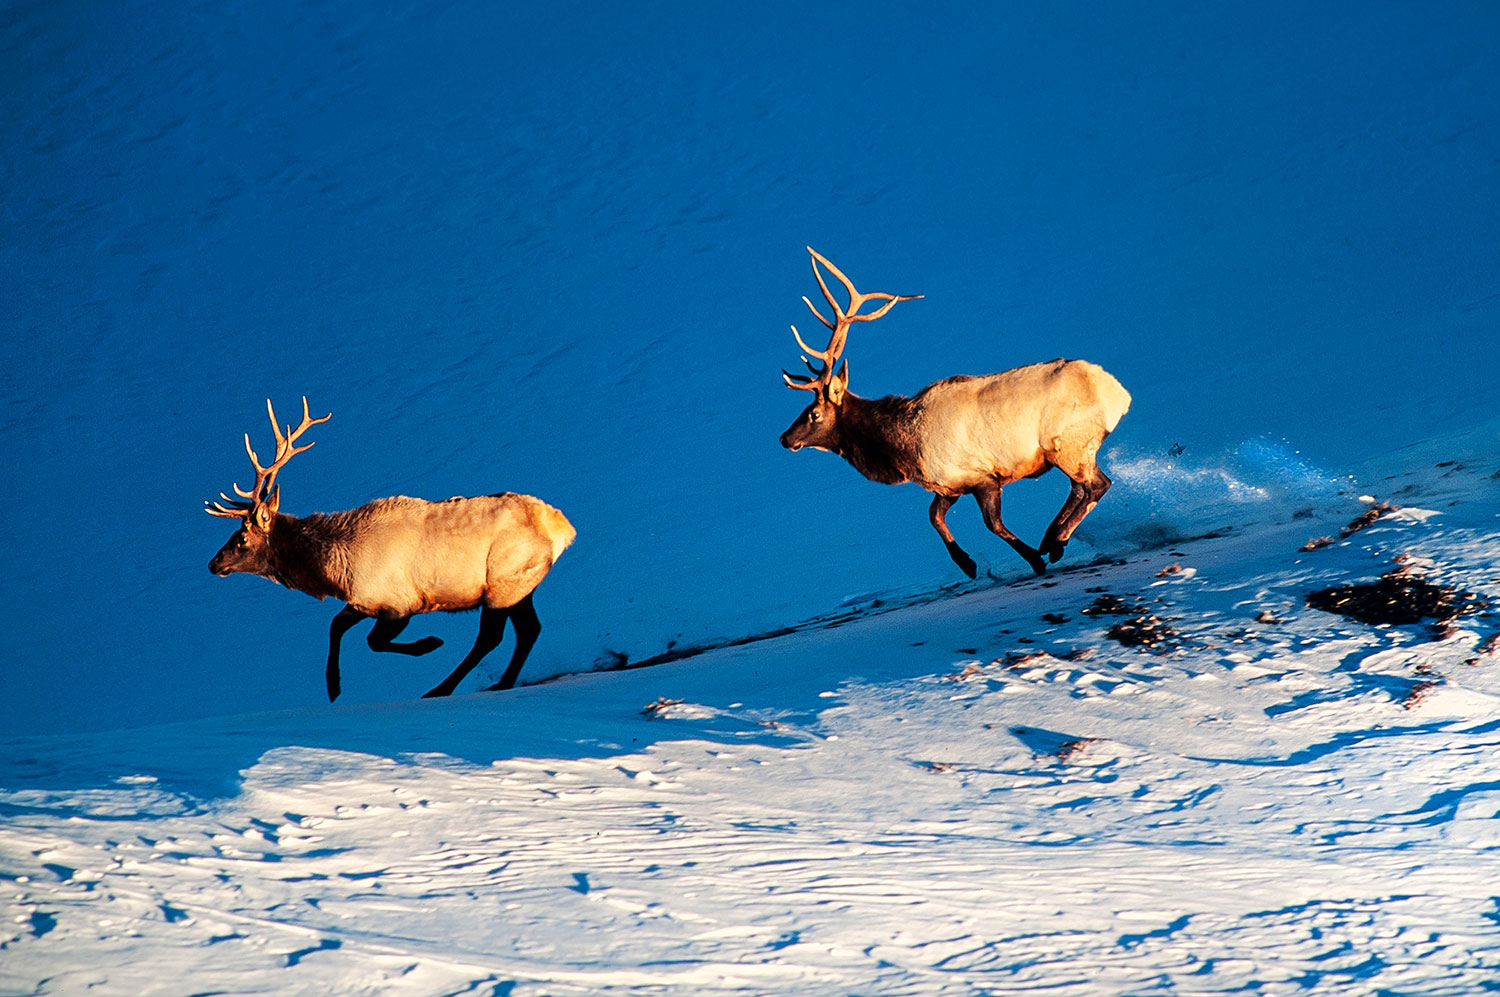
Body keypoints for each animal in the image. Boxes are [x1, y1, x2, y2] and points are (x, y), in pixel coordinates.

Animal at [211, 395, 579, 698]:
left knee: (491, 637)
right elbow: (336, 626)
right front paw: (333, 686)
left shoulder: (400, 603)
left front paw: (429, 643)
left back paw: (444, 688)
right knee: (529, 629)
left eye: (241, 539)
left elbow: (372, 641)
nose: (213, 564)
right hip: (521, 584)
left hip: (502, 583)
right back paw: (501, 682)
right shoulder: (364, 601)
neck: (334, 571)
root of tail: (563, 527)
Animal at [786, 244, 1128, 578]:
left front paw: (1033, 559)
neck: (904, 452)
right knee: (1081, 488)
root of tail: (1119, 394)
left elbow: (993, 524)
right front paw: (968, 563)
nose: (785, 438)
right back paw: (1051, 537)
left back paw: (1055, 543)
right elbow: (933, 516)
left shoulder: (983, 476)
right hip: (1072, 450)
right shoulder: (949, 484)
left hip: (1067, 444)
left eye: (814, 413)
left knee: (1096, 485)